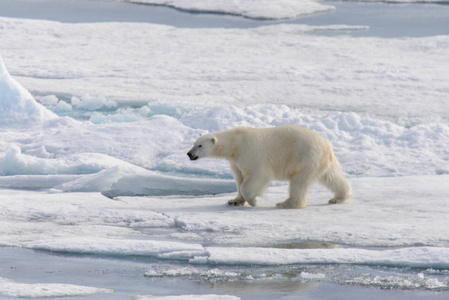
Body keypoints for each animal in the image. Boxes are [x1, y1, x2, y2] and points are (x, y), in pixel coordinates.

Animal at [186, 126, 350, 209]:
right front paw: (234, 201)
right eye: (194, 143)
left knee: (299, 182)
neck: (235, 144)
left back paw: (287, 203)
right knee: (331, 177)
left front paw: (253, 201)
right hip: (320, 162)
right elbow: (239, 179)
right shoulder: (235, 161)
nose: (189, 154)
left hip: (304, 157)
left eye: (200, 146)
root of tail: (327, 146)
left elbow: (256, 177)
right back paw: (338, 198)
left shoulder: (251, 154)